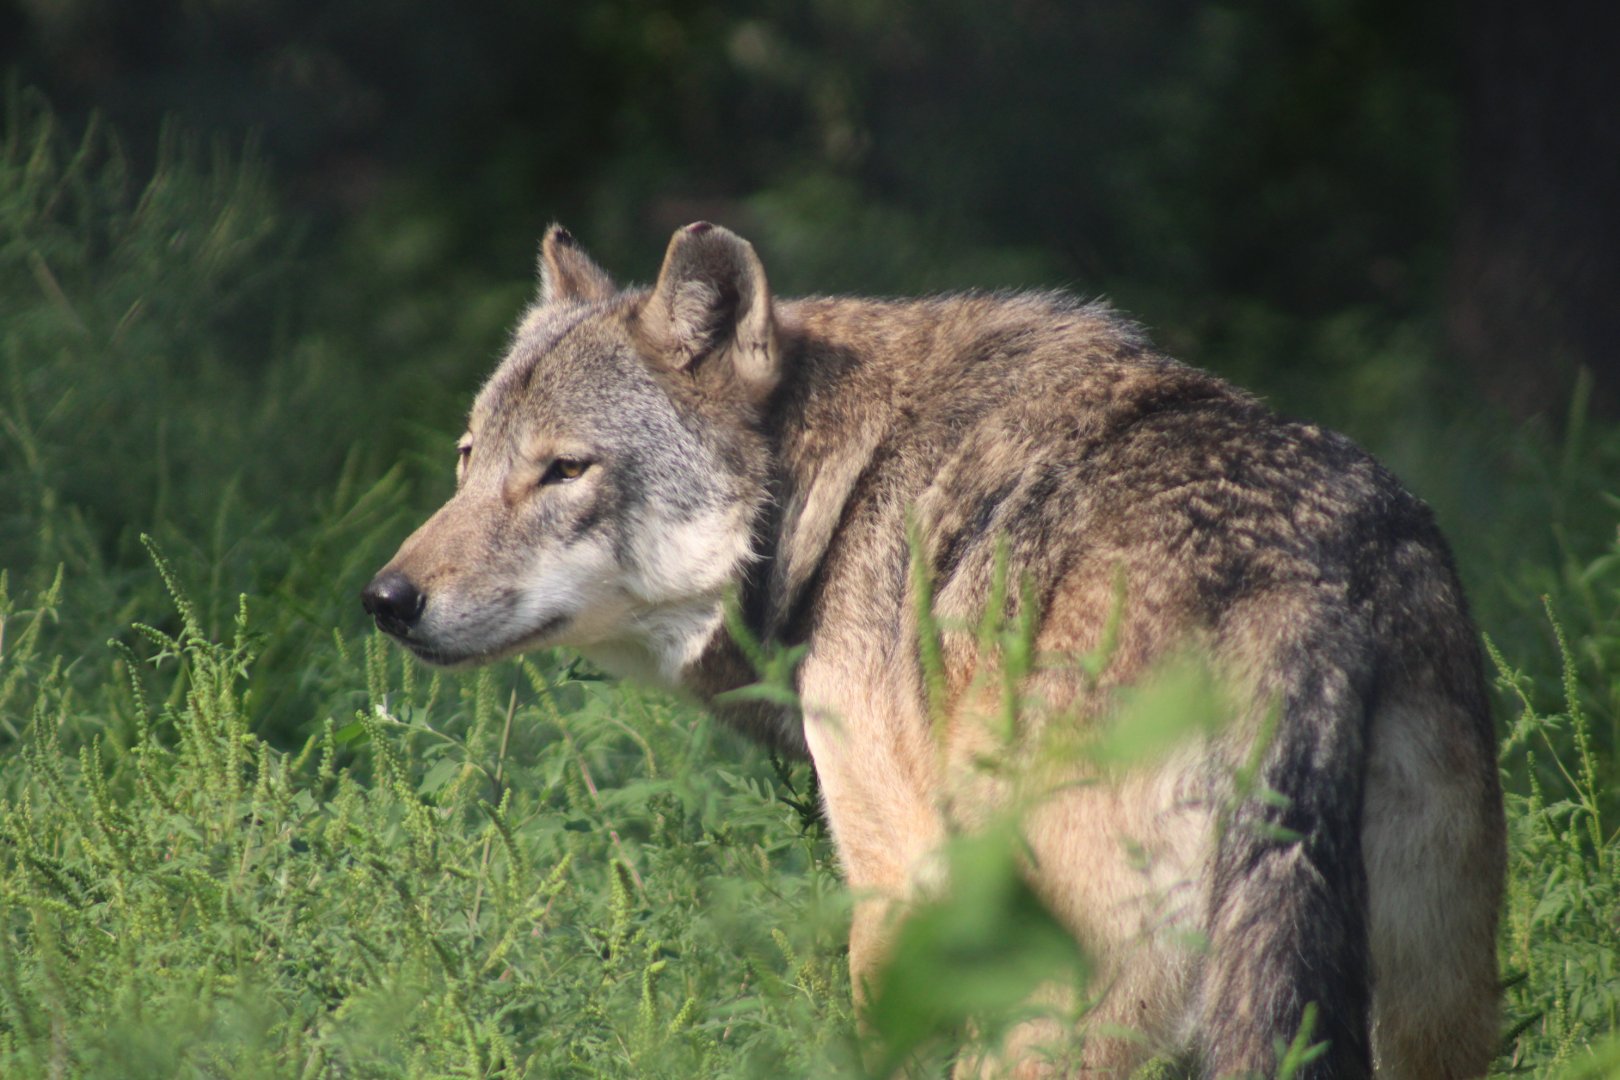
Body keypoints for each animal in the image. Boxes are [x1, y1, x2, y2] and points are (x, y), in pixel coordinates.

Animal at [362, 222, 1505, 1078]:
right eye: (468, 459)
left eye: (563, 470)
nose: (386, 600)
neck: (827, 494)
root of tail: (1302, 593)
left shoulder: (896, 885)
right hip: (1431, 1008)